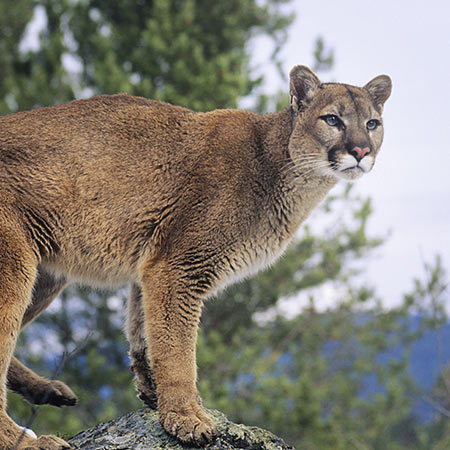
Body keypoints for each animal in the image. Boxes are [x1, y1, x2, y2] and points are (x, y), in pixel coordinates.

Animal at [0, 65, 390, 448]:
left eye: (372, 123)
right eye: (333, 119)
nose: (360, 150)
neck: (285, 169)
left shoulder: (151, 265)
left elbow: (144, 333)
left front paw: (155, 396)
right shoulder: (178, 267)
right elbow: (177, 351)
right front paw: (186, 418)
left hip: (46, 275)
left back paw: (47, 391)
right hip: (15, 265)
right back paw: (28, 439)